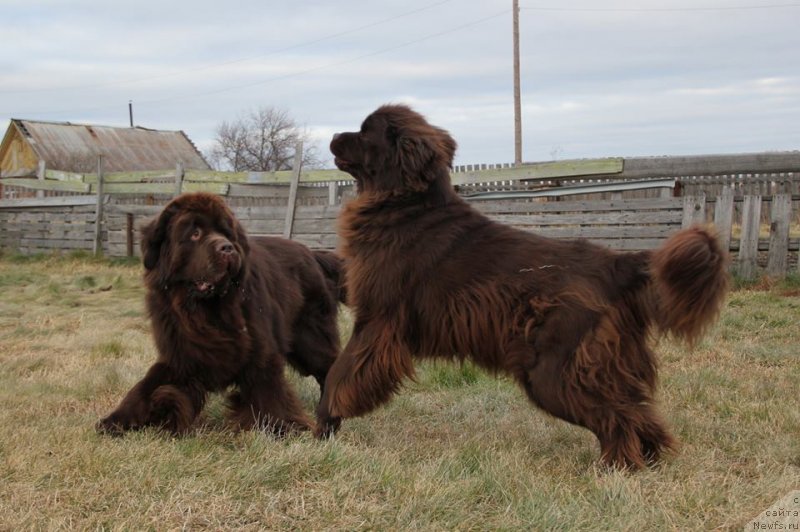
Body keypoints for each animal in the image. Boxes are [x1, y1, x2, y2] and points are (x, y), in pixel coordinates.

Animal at [97, 193, 340, 434]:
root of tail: (312, 253)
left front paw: (279, 426)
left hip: (310, 339)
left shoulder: (260, 351)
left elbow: (268, 390)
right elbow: (147, 385)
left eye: (225, 233)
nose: (227, 248)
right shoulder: (181, 354)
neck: (206, 310)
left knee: (328, 368)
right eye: (195, 234)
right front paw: (117, 419)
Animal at [316, 105, 728, 470]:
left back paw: (615, 469)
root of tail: (616, 264)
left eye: (365, 132)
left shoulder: (376, 321)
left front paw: (323, 428)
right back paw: (648, 461)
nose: (332, 137)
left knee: (619, 416)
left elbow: (338, 375)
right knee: (639, 411)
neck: (405, 205)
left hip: (554, 371)